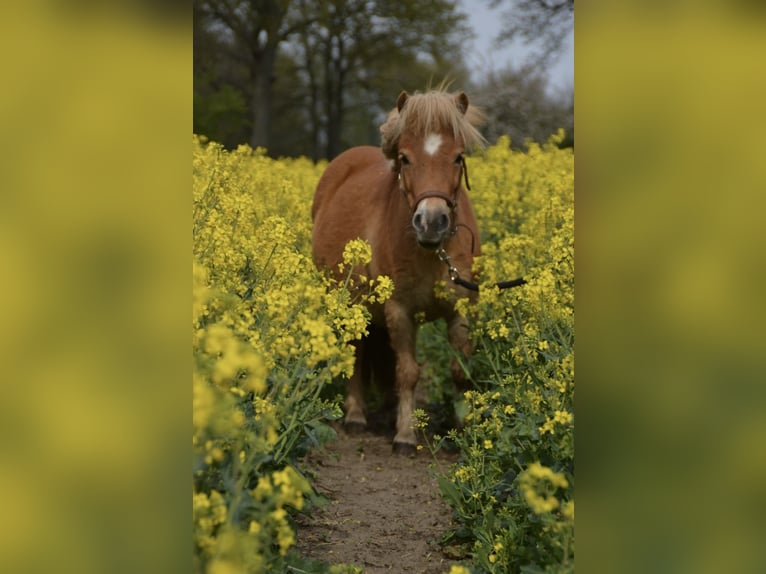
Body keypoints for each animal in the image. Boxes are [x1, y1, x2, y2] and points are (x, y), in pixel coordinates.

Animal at [308, 90, 484, 454]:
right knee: (356, 355)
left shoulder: (461, 309)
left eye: (458, 157)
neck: (432, 253)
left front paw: (461, 432)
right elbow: (408, 372)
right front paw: (405, 435)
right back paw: (356, 417)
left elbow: (459, 370)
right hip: (351, 308)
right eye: (404, 158)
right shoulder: (399, 310)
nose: (431, 223)